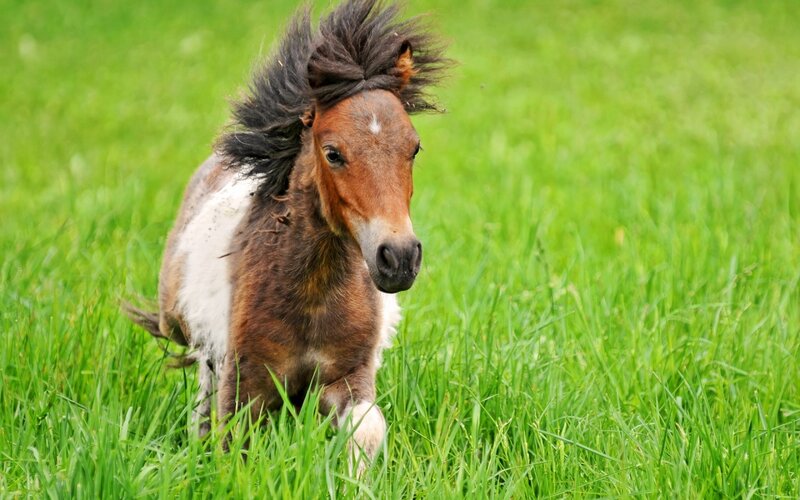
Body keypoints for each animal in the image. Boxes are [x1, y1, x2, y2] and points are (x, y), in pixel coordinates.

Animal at [124, 0, 448, 470]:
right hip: (184, 328)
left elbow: (367, 429)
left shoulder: (346, 378)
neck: (312, 295)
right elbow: (230, 444)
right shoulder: (246, 391)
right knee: (203, 389)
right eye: (333, 153)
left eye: (414, 148)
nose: (400, 257)